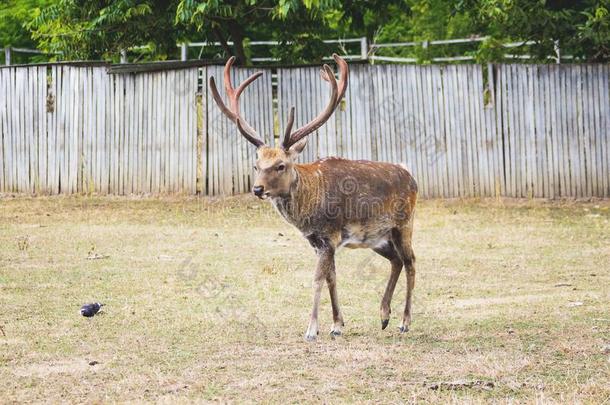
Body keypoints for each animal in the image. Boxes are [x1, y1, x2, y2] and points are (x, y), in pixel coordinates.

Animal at [210, 52, 418, 340]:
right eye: (256, 165)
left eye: (281, 165)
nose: (257, 189)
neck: (310, 210)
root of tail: (412, 177)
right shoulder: (318, 241)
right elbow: (332, 277)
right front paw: (337, 325)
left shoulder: (330, 235)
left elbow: (318, 278)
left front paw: (311, 329)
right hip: (377, 238)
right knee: (397, 260)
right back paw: (384, 315)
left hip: (403, 224)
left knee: (411, 261)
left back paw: (404, 321)